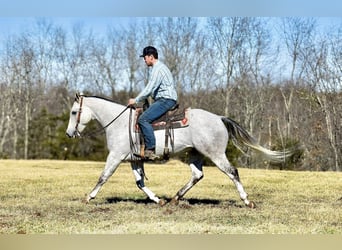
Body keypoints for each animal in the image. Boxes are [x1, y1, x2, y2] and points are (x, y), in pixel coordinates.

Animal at [67, 94, 294, 207]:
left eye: (74, 112)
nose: (70, 133)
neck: (120, 122)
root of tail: (219, 118)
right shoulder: (134, 159)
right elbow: (140, 183)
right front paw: (158, 200)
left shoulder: (115, 156)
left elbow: (103, 177)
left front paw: (88, 197)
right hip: (195, 154)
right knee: (197, 175)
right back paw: (175, 198)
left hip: (216, 154)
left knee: (232, 172)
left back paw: (247, 201)